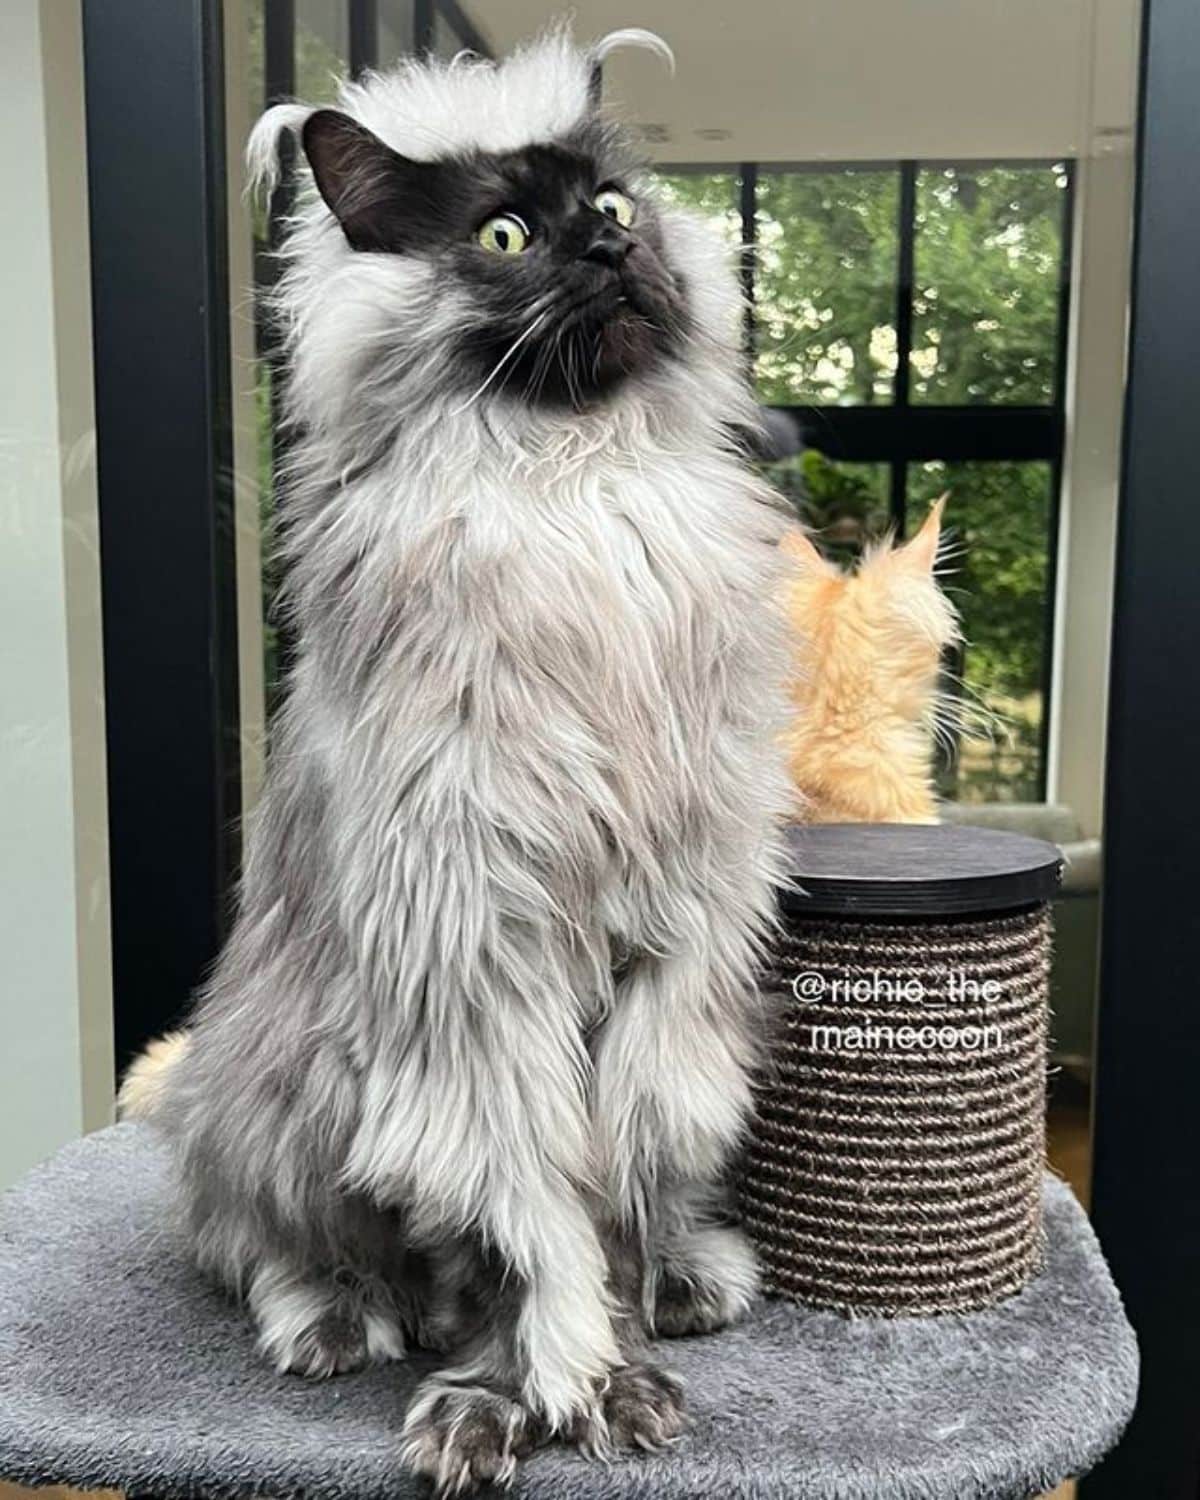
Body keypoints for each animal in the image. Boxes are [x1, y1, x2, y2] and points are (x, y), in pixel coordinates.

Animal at [143, 29, 786, 1494]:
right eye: (502, 236)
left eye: (611, 209)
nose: (605, 253)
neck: (580, 491)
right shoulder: (472, 961)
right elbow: (521, 1220)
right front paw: (525, 1394)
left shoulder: (667, 954)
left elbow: (609, 1202)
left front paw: (617, 1371)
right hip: (280, 1083)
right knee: (264, 1238)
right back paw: (339, 1321)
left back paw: (689, 1279)